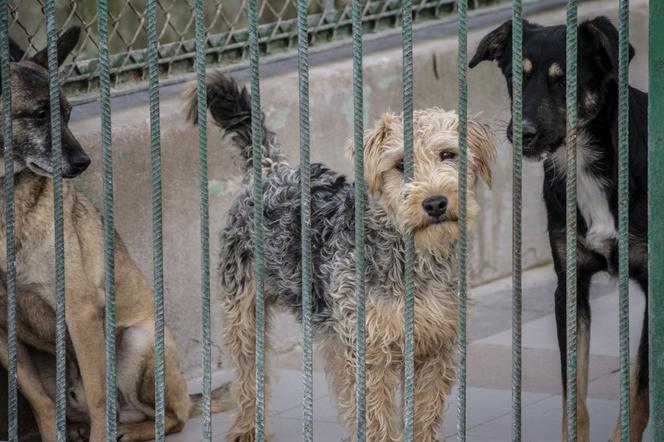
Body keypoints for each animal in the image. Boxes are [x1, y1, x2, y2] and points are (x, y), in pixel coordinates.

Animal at [185, 73, 492, 442]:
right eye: (400, 164)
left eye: (448, 154)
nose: (435, 203)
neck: (410, 255)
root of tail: (271, 171)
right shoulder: (371, 350)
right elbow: (377, 418)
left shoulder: (436, 346)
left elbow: (424, 414)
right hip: (244, 313)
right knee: (248, 375)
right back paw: (246, 427)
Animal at [472, 15, 648, 440]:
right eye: (516, 77)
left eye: (564, 78)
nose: (521, 133)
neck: (585, 162)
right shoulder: (570, 286)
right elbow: (574, 396)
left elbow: (638, 391)